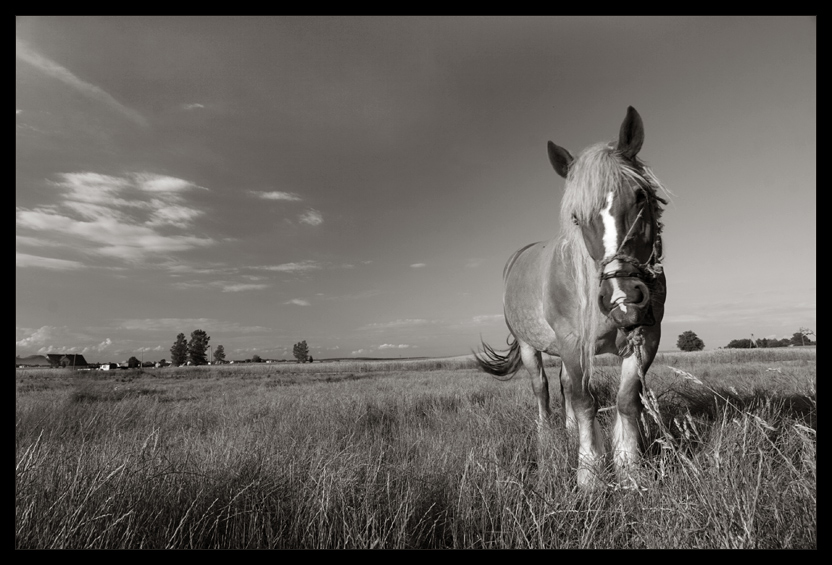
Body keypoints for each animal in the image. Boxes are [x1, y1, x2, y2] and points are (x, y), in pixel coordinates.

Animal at [474, 107, 668, 490]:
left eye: (640, 196)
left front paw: (630, 469)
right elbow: (584, 401)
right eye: (576, 217)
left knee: (564, 385)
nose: (623, 297)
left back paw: (567, 431)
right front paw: (589, 473)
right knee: (543, 389)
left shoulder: (647, 337)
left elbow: (625, 400)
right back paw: (547, 437)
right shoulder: (572, 341)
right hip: (532, 346)